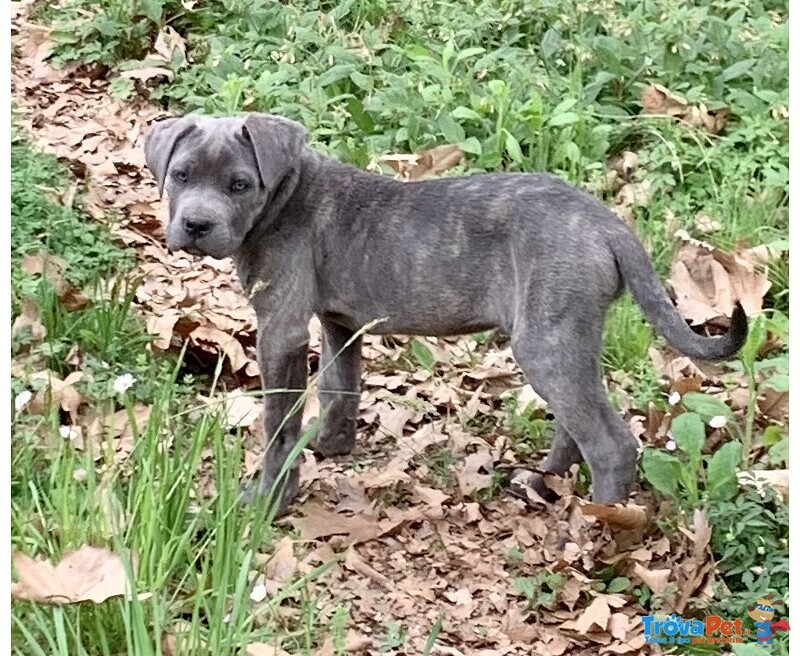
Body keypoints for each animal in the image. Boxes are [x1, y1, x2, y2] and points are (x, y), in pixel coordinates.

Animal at [142, 113, 744, 512]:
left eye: (240, 184)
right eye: (181, 175)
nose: (195, 225)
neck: (285, 197)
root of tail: (608, 223)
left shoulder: (281, 330)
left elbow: (277, 422)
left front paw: (269, 497)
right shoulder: (340, 322)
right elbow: (339, 388)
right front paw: (329, 447)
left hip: (545, 341)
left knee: (611, 443)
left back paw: (599, 526)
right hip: (567, 336)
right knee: (579, 420)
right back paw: (543, 480)